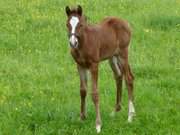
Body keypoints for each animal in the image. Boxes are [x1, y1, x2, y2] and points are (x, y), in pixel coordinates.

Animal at [64, 5, 135, 133]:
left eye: (80, 25)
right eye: (67, 24)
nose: (73, 42)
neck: (84, 43)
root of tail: (125, 22)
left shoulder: (94, 65)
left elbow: (95, 93)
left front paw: (98, 125)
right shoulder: (80, 65)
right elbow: (83, 90)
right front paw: (82, 117)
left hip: (123, 54)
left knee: (129, 79)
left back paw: (130, 116)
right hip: (112, 57)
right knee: (118, 76)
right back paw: (115, 111)